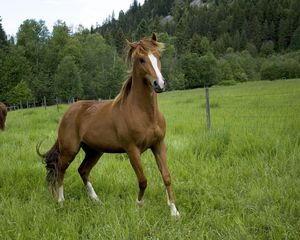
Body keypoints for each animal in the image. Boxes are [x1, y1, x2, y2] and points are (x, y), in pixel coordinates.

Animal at [36, 33, 179, 218]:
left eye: (158, 56)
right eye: (141, 59)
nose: (159, 84)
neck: (144, 114)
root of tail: (68, 112)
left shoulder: (159, 145)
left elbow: (167, 177)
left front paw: (174, 212)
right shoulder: (132, 150)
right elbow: (143, 180)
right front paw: (139, 204)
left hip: (94, 151)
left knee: (83, 170)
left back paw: (97, 202)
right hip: (70, 149)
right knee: (60, 170)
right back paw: (61, 202)